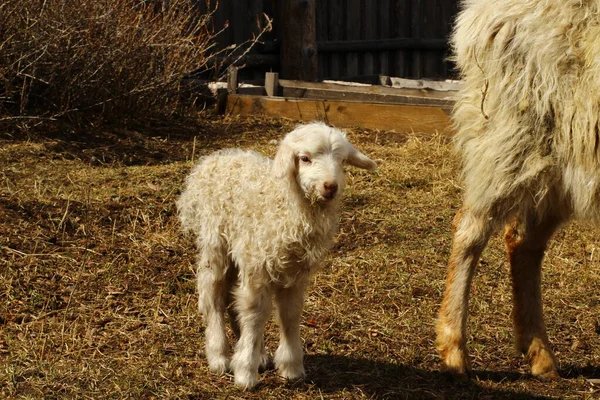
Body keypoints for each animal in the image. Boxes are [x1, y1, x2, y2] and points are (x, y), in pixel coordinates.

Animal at [176, 122, 378, 388]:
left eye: (342, 160)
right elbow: (255, 314)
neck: (287, 206)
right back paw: (219, 356)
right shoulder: (258, 268)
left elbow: (289, 314)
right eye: (304, 158)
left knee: (233, 300)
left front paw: (291, 367)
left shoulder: (294, 273)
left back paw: (256, 354)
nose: (330, 186)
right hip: (215, 244)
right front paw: (245, 373)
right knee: (214, 297)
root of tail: (216, 158)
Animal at [434, 0, 600, 382]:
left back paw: (540, 354)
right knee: (470, 229)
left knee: (524, 242)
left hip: (562, 156)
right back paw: (454, 351)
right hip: (513, 130)